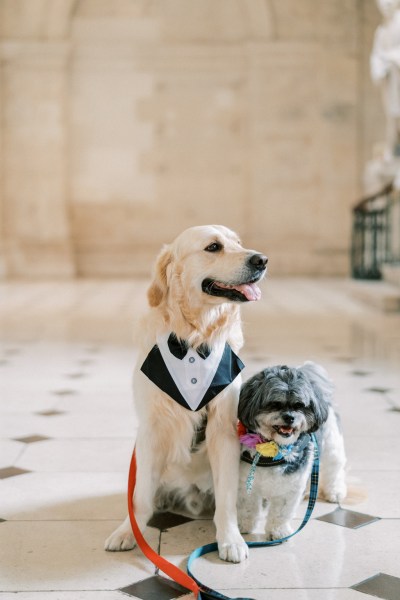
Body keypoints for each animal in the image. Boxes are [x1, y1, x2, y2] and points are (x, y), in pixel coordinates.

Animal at [238, 360, 346, 540]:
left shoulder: (289, 488)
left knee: (334, 468)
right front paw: (243, 526)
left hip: (331, 445)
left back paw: (335, 491)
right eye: (274, 404)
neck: (272, 450)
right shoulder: (246, 484)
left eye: (300, 405)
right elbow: (247, 507)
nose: (289, 417)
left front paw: (278, 532)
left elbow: (281, 513)